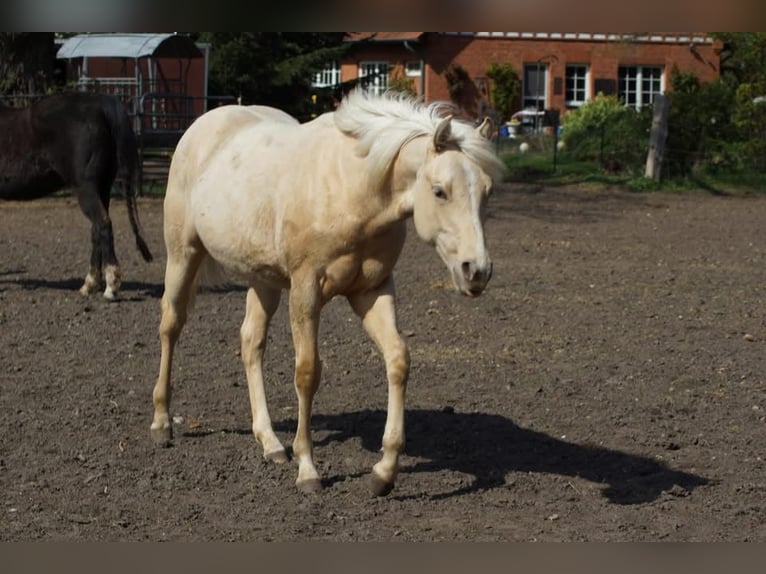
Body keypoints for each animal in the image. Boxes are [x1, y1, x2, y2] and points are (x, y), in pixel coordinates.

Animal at [0, 92, 153, 299]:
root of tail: (101, 105)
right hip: (102, 188)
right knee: (96, 230)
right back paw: (90, 284)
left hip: (86, 189)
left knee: (103, 225)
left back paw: (111, 287)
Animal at [149, 90, 505, 496]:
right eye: (439, 191)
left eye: (487, 191)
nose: (476, 271)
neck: (354, 190)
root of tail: (203, 126)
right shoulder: (306, 291)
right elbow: (307, 372)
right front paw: (308, 469)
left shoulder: (372, 291)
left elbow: (398, 359)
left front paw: (384, 472)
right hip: (184, 254)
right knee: (171, 325)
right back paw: (162, 423)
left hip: (264, 279)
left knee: (251, 343)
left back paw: (270, 443)